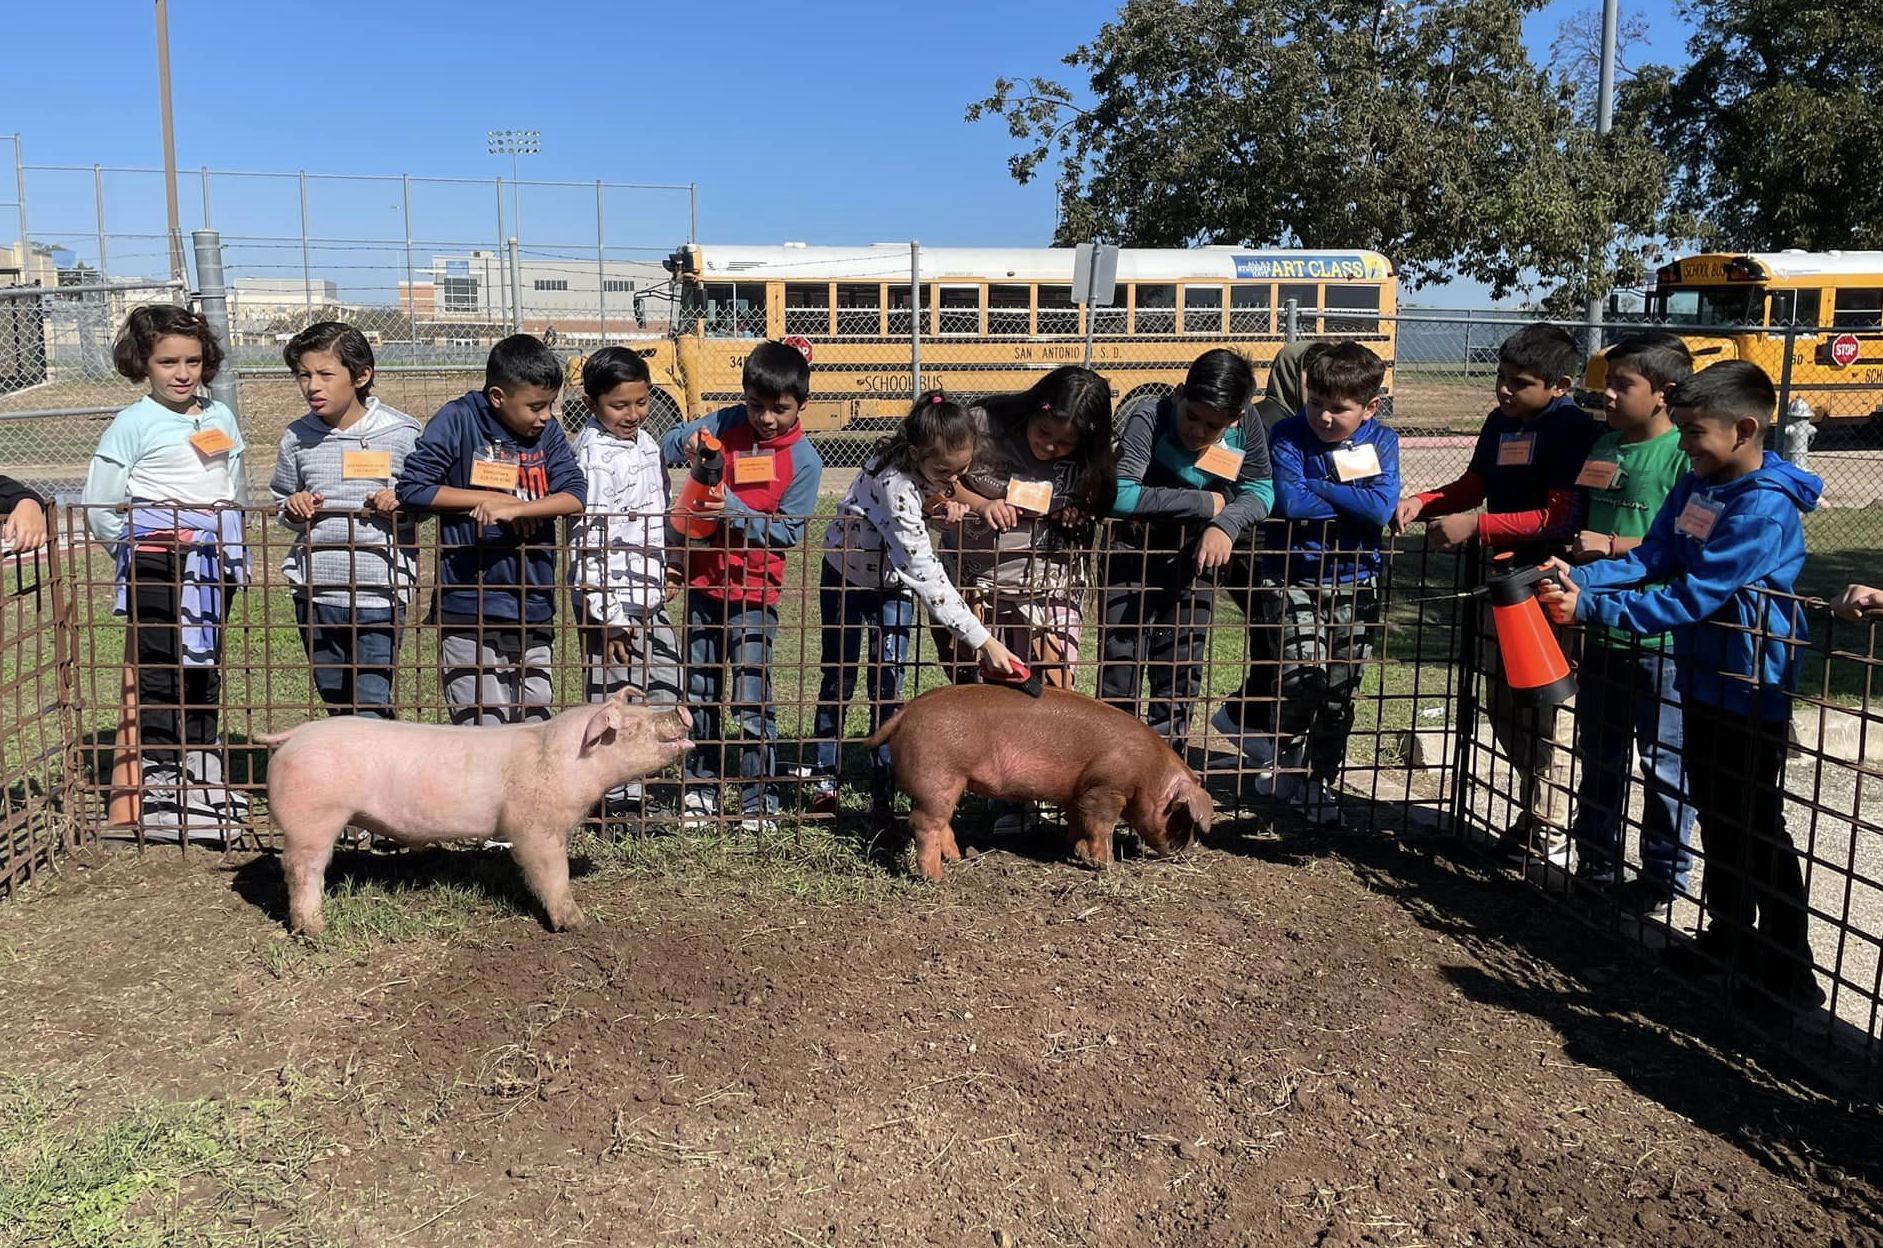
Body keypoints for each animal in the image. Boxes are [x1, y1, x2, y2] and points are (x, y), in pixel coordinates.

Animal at [254, 692, 689, 937]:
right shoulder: (535, 827)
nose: (683, 710)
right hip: (312, 820)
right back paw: (315, 929)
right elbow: (552, 874)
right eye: (630, 725)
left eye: (640, 708)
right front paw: (577, 924)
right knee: (301, 869)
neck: (569, 762)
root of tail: (295, 735)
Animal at [862, 688, 1212, 884]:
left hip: (946, 784)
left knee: (941, 822)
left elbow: (1078, 821)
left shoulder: (1077, 793)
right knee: (923, 824)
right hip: (937, 776)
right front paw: (1107, 865)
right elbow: (1101, 826)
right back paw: (936, 879)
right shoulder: (1106, 788)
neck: (1149, 772)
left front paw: (1077, 851)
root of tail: (905, 713)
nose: (1188, 851)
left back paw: (958, 859)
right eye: (1180, 816)